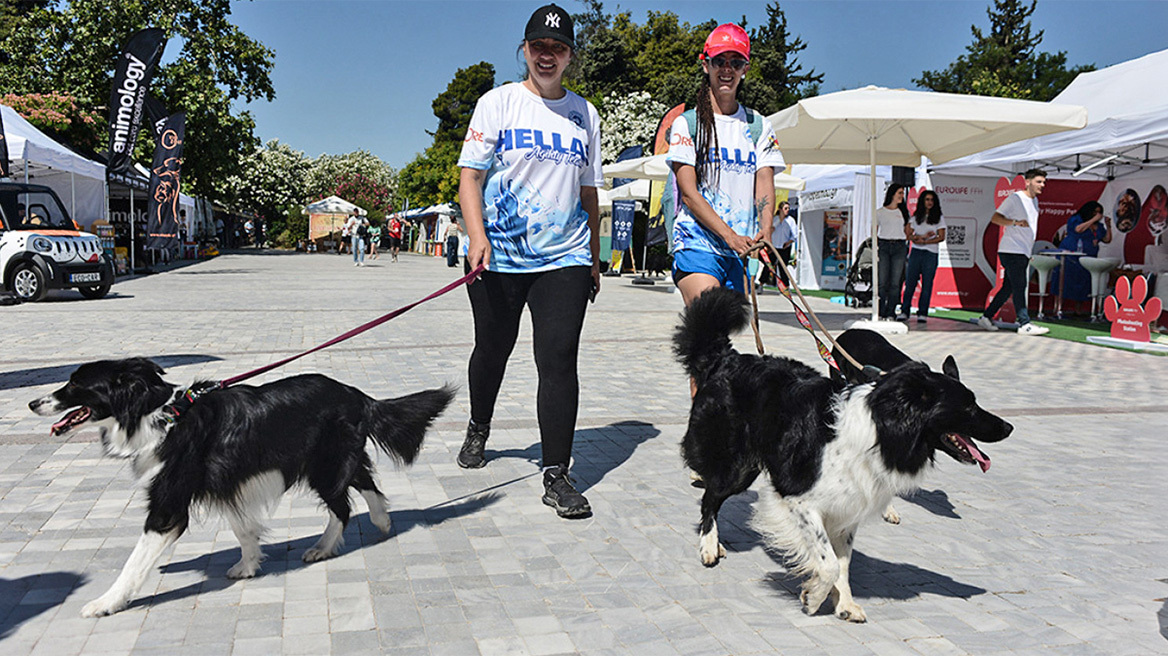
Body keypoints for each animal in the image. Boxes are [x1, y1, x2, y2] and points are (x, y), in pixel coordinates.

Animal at [31, 359, 450, 616]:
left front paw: (106, 603)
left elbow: (135, 562)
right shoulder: (226, 482)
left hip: (323, 465)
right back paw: (382, 522)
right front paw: (248, 566)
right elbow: (243, 528)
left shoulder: (169, 504)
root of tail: (358, 395)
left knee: (343, 507)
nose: (33, 403)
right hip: (331, 459)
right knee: (364, 483)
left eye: (75, 384)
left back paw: (323, 547)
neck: (156, 414)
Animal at [677, 288, 1013, 620]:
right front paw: (813, 598)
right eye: (967, 407)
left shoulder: (848, 508)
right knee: (710, 497)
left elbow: (841, 562)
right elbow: (827, 563)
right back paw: (709, 546)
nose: (1008, 427)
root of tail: (726, 359)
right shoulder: (798, 498)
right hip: (736, 465)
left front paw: (844, 604)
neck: (882, 430)